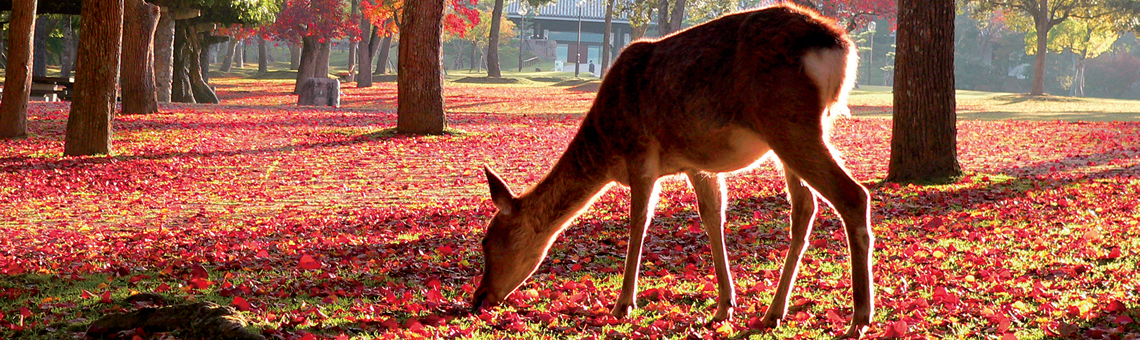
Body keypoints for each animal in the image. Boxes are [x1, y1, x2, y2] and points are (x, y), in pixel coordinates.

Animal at [471, 2, 870, 337]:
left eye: (487, 241)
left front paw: (622, 304)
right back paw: (774, 313)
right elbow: (712, 217)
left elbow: (638, 222)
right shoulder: (698, 164)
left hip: (788, 122)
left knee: (853, 195)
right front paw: (725, 305)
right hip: (799, 131)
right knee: (804, 208)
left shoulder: (640, 153)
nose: (479, 298)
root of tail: (839, 47)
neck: (606, 148)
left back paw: (858, 320)